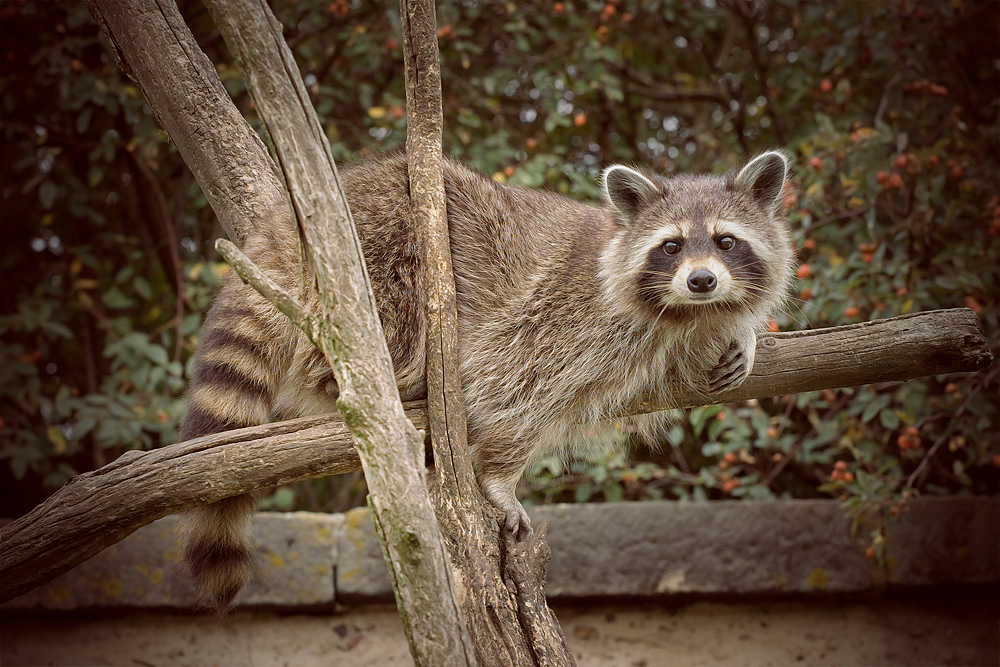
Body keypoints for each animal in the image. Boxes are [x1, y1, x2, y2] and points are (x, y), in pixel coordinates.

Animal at [178, 149, 788, 612]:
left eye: (726, 241)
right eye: (671, 246)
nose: (702, 280)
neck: (681, 311)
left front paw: (744, 333)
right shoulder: (560, 314)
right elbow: (512, 388)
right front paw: (500, 477)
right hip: (377, 241)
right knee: (388, 306)